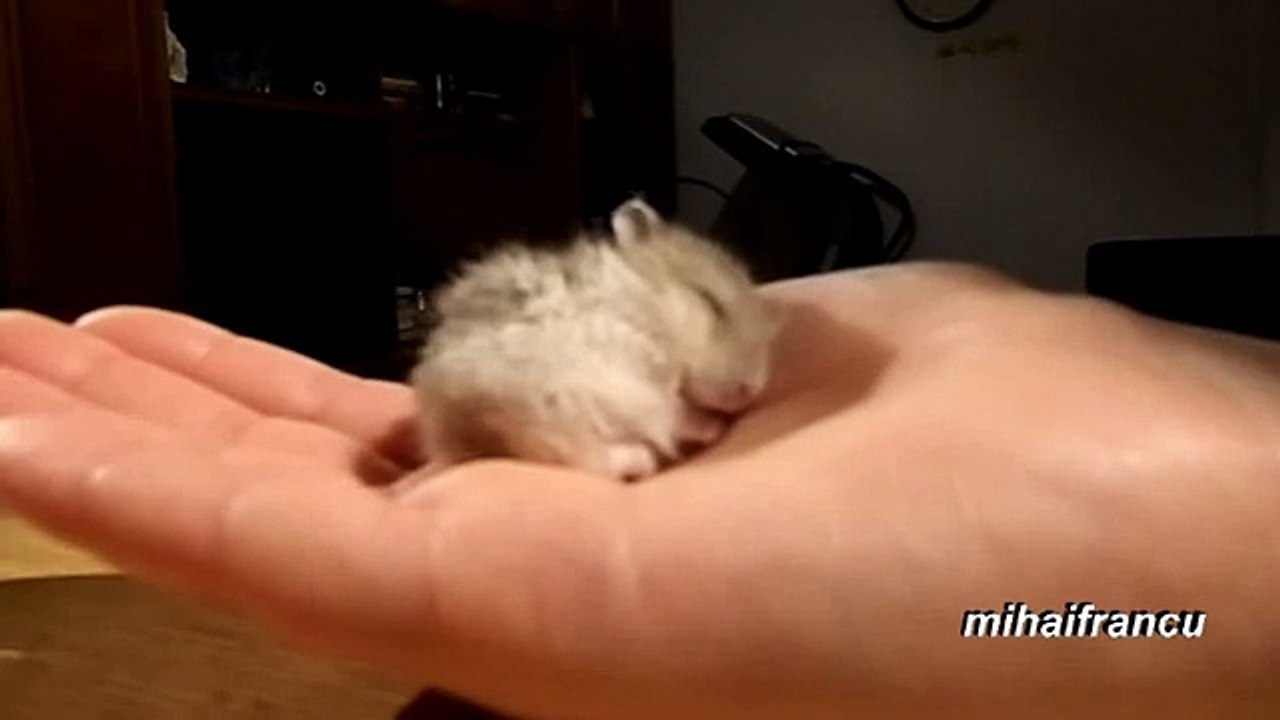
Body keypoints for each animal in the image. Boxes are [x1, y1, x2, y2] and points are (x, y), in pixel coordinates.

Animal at [409, 199, 780, 481]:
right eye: (709, 302)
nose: (752, 391)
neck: (647, 306)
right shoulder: (640, 374)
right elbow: (675, 412)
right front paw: (711, 427)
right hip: (551, 404)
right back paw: (644, 457)